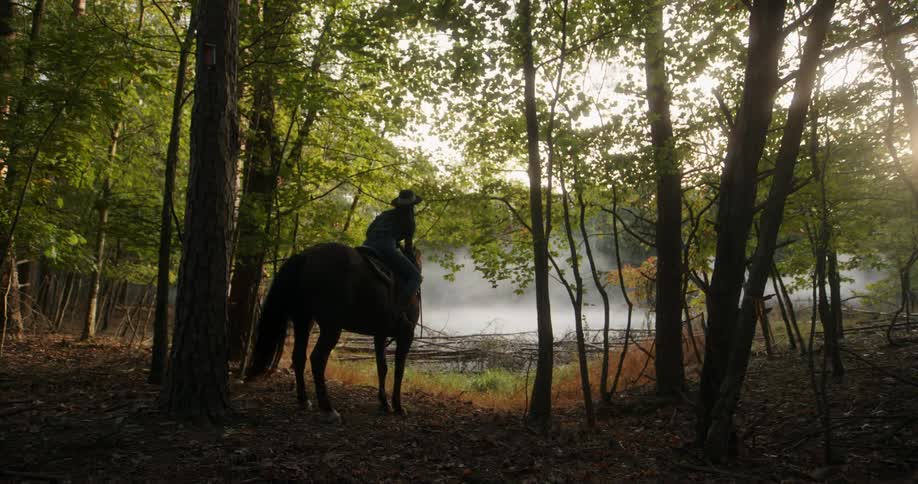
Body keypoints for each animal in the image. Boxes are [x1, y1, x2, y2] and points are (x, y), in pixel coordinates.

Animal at [246, 242, 421, 423]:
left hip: (303, 320)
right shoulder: (406, 334)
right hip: (331, 327)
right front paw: (398, 406)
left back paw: (304, 400)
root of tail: (305, 256)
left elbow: (382, 367)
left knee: (299, 357)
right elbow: (399, 370)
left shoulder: (380, 335)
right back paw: (328, 408)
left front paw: (384, 403)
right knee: (317, 359)